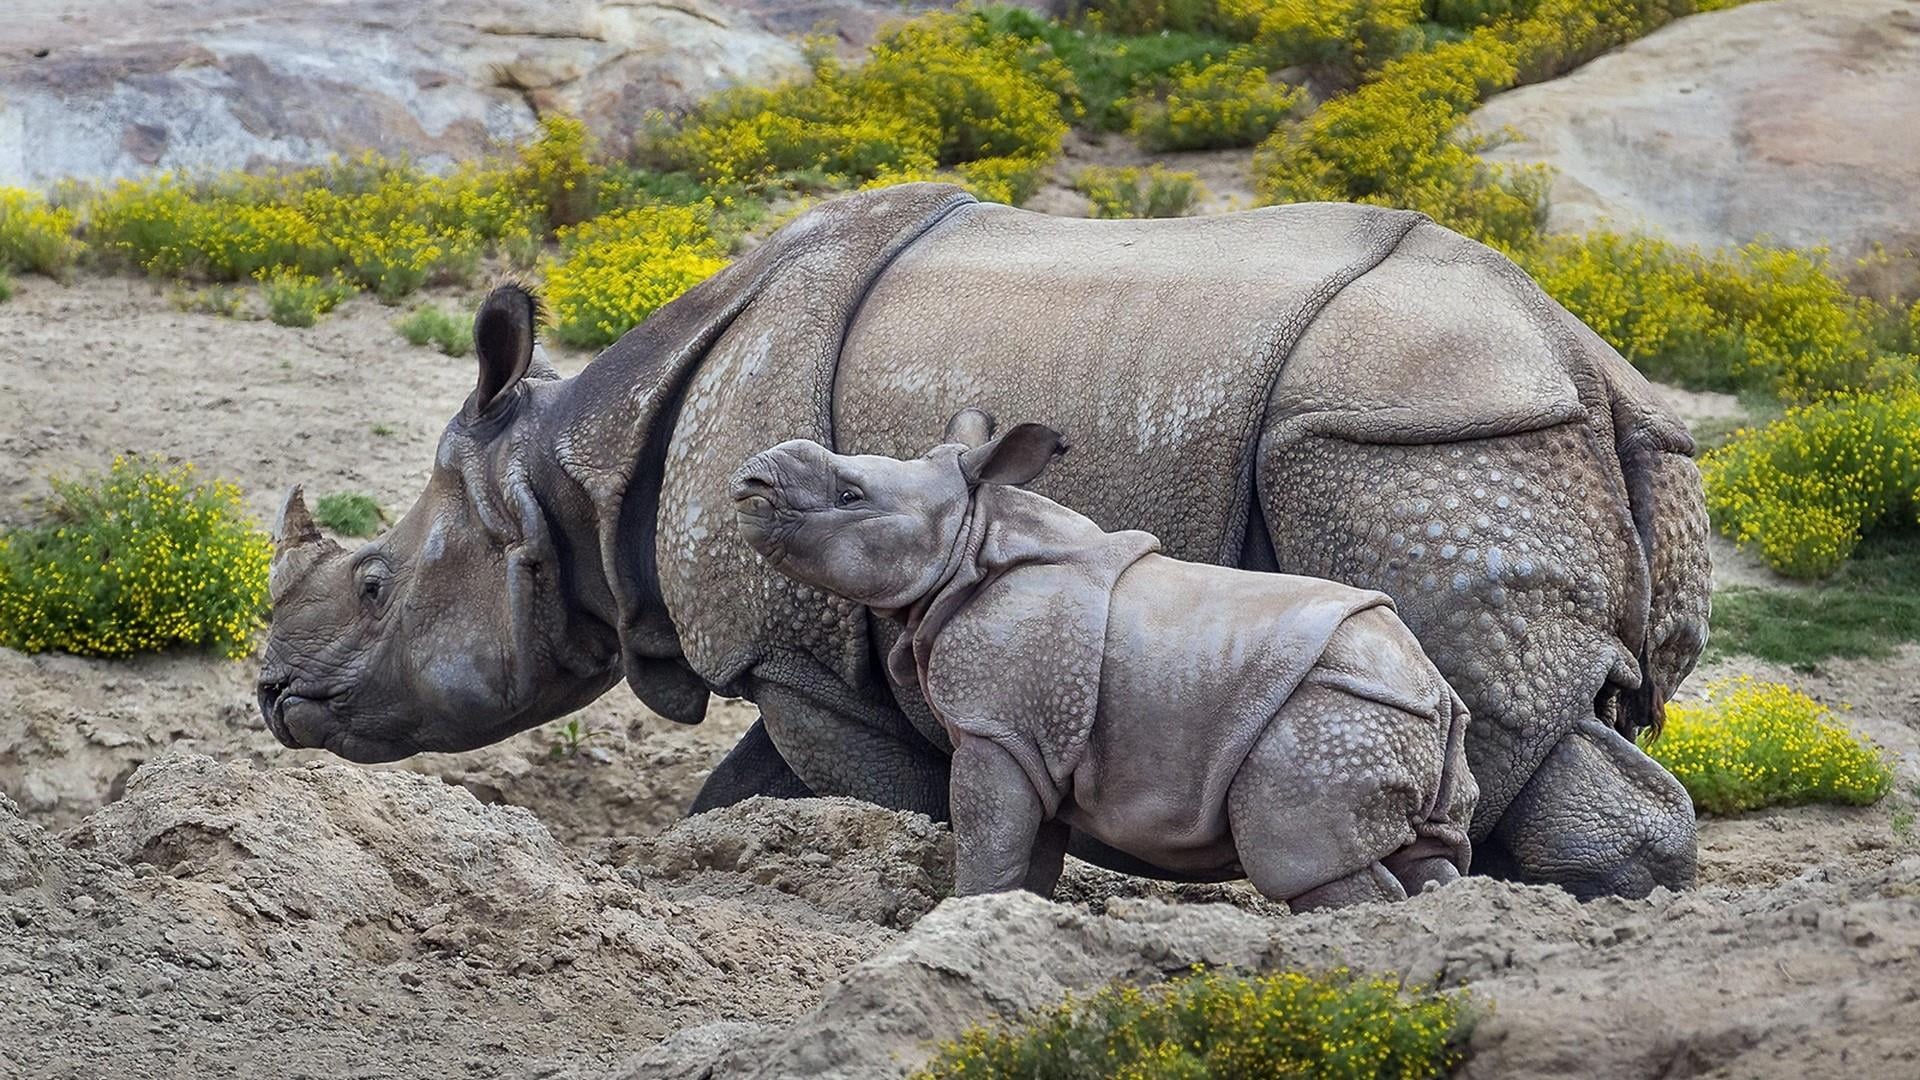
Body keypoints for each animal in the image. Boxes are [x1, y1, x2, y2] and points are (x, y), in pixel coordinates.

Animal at [732, 415, 1478, 910]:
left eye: (850, 496)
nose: (751, 477)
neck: (969, 539)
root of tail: (1435, 696)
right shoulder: (1034, 736)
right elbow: (1027, 852)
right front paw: (1008, 925)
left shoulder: (994, 726)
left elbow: (987, 838)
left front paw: (958, 919)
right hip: (1379, 709)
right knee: (1427, 861)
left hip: (1332, 712)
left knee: (1312, 863)